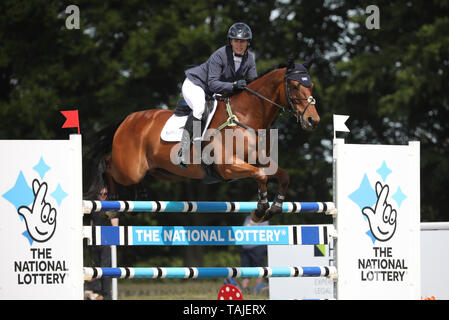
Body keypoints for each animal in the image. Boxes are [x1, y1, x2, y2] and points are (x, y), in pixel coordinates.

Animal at [97, 57, 318, 221]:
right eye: (295, 86)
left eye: (311, 85)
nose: (312, 120)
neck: (245, 116)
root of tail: (127, 119)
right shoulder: (228, 166)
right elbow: (261, 176)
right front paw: (261, 209)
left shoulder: (259, 160)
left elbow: (283, 176)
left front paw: (275, 208)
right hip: (128, 169)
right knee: (108, 164)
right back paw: (112, 203)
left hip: (163, 172)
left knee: (138, 175)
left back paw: (140, 196)